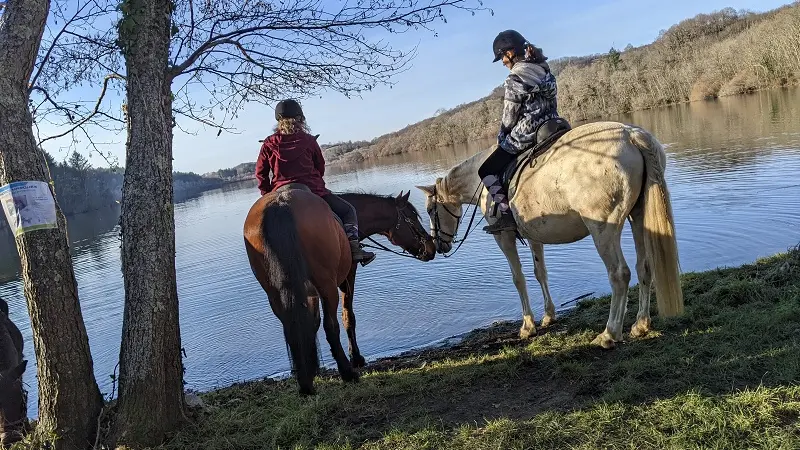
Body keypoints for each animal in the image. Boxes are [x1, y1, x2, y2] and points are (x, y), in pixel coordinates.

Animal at [242, 185, 434, 394]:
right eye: (412, 218)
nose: (431, 247)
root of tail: (280, 205)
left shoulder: (307, 293)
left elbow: (312, 323)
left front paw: (313, 367)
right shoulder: (348, 275)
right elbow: (348, 317)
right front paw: (355, 358)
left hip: (275, 294)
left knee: (291, 326)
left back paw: (305, 381)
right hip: (327, 286)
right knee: (331, 327)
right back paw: (347, 373)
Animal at [416, 119, 684, 348]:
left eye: (429, 210)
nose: (439, 245)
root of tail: (631, 134)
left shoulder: (503, 238)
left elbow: (518, 278)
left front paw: (527, 326)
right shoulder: (534, 236)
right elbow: (540, 273)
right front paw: (548, 316)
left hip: (603, 229)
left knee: (620, 274)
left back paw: (609, 333)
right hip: (638, 217)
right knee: (644, 267)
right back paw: (640, 325)